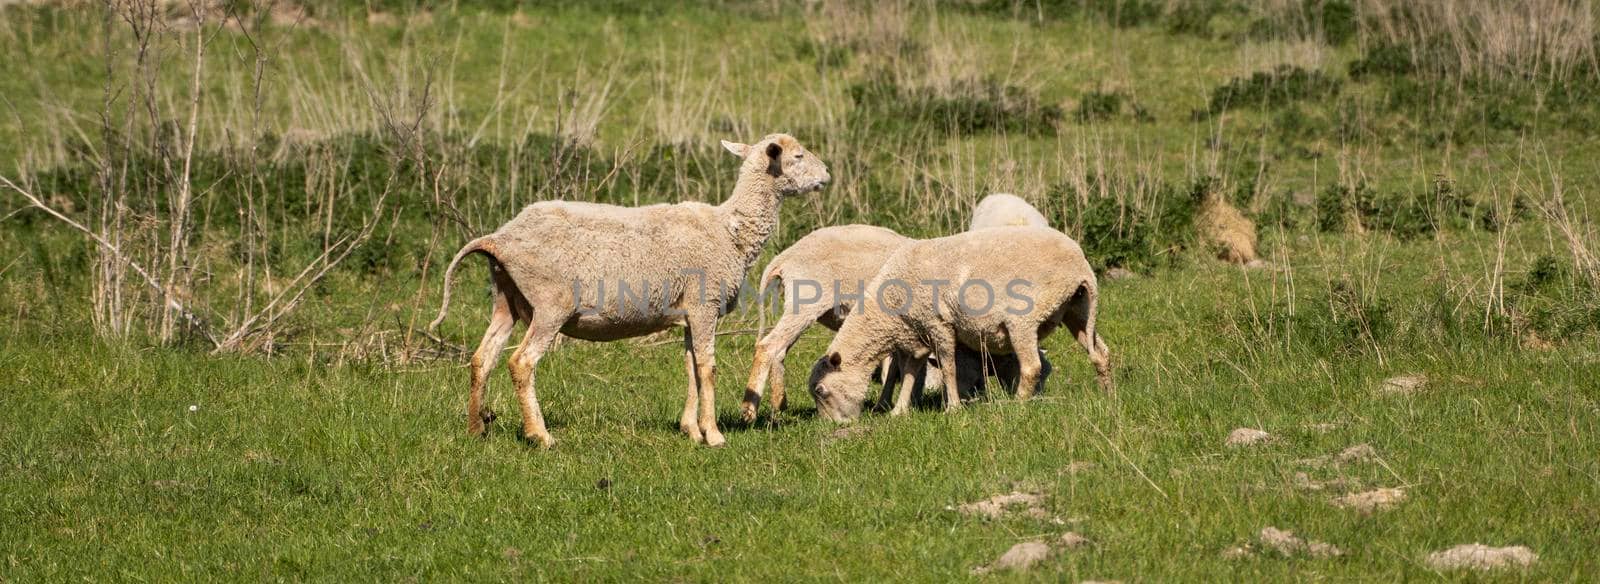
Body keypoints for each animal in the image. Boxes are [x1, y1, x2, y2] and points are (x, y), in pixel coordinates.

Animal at [432, 134, 832, 444]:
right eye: (798, 156)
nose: (827, 174)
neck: (729, 231)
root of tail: (499, 239)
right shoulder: (705, 305)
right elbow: (707, 369)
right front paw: (714, 434)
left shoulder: (688, 312)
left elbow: (690, 368)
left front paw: (691, 430)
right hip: (550, 303)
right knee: (521, 362)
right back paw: (540, 435)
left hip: (507, 299)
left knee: (482, 358)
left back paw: (476, 429)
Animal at [806, 225, 1107, 422]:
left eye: (821, 391)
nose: (831, 427)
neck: (889, 308)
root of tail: (1080, 265)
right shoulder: (918, 336)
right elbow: (910, 373)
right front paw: (899, 411)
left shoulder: (938, 325)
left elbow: (948, 367)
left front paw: (952, 408)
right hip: (1077, 309)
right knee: (1101, 353)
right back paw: (1107, 392)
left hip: (1023, 319)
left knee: (1032, 366)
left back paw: (1018, 405)